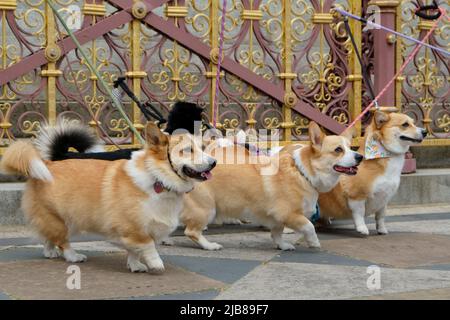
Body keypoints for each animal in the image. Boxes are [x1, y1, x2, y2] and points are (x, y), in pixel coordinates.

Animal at [0, 121, 216, 274]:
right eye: (187, 150)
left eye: (203, 147)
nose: (214, 162)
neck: (159, 179)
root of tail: (47, 164)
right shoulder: (133, 227)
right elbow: (147, 245)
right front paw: (155, 263)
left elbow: (135, 250)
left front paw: (135, 265)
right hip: (62, 220)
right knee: (62, 241)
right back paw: (73, 256)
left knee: (48, 236)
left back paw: (50, 252)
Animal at [178, 122, 364, 250]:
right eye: (338, 150)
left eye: (350, 148)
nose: (360, 157)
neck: (303, 172)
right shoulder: (289, 214)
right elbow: (309, 227)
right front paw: (314, 242)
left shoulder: (277, 219)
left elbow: (276, 234)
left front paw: (283, 246)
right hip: (207, 208)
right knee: (191, 231)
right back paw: (209, 245)